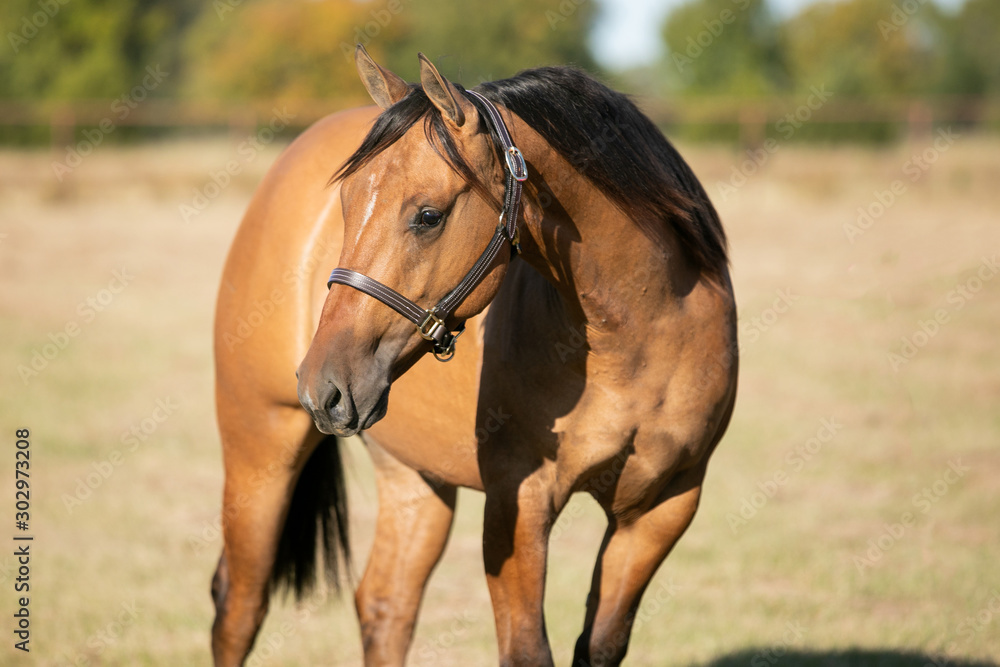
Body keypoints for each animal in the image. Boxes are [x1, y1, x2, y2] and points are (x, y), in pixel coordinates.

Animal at [211, 45, 738, 667]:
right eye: (343, 203)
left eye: (428, 215)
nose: (324, 387)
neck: (641, 335)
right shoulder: (518, 502)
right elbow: (528, 650)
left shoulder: (661, 508)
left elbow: (601, 645)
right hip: (260, 450)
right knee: (240, 605)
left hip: (414, 476)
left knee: (385, 606)